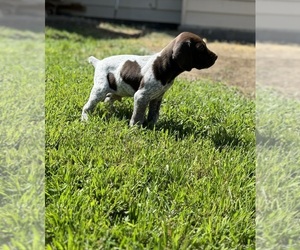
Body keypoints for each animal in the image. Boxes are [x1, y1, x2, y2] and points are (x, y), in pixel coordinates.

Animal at [82, 32, 217, 126]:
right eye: (201, 48)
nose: (216, 56)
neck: (164, 66)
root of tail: (98, 62)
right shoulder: (141, 96)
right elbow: (138, 115)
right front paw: (135, 128)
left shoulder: (157, 97)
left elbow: (153, 114)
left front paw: (152, 126)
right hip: (99, 90)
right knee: (87, 107)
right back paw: (85, 119)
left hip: (116, 90)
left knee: (108, 100)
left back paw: (113, 112)